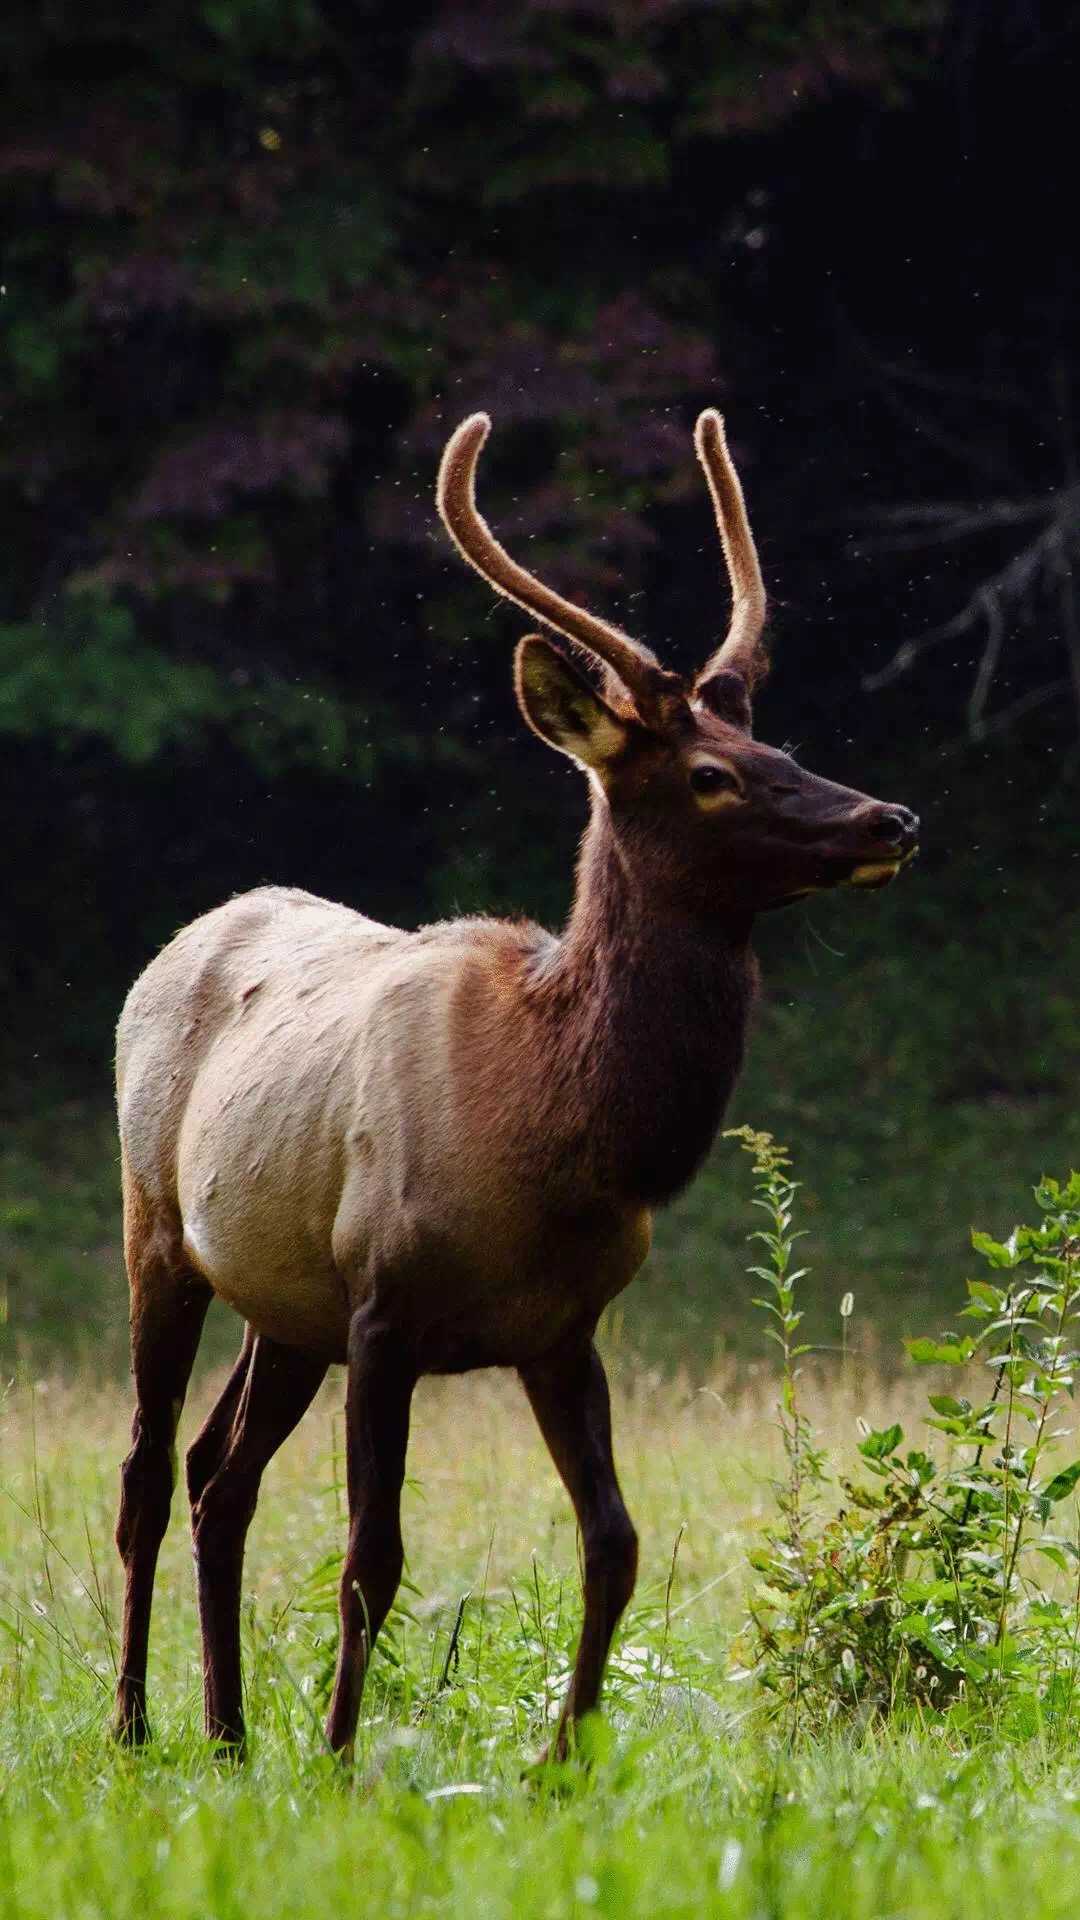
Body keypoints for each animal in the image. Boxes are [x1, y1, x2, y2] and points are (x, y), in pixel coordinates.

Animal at [113, 407, 918, 1762]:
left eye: (778, 744)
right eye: (708, 774)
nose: (889, 820)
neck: (555, 1139)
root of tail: (178, 940)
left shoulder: (563, 1327)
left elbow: (615, 1545)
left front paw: (566, 1757)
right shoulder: (384, 1306)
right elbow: (370, 1560)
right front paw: (341, 1757)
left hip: (286, 1303)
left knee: (221, 1477)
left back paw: (227, 1733)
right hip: (159, 1228)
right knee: (145, 1474)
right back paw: (133, 1724)